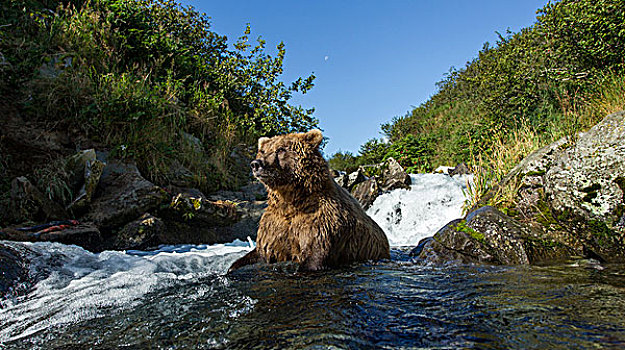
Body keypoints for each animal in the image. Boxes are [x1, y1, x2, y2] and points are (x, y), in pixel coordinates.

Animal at [227, 129, 388, 274]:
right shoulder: (274, 226)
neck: (291, 200)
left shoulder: (321, 222)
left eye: (280, 149)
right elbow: (260, 252)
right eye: (262, 151)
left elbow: (314, 256)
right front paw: (232, 267)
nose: (256, 164)